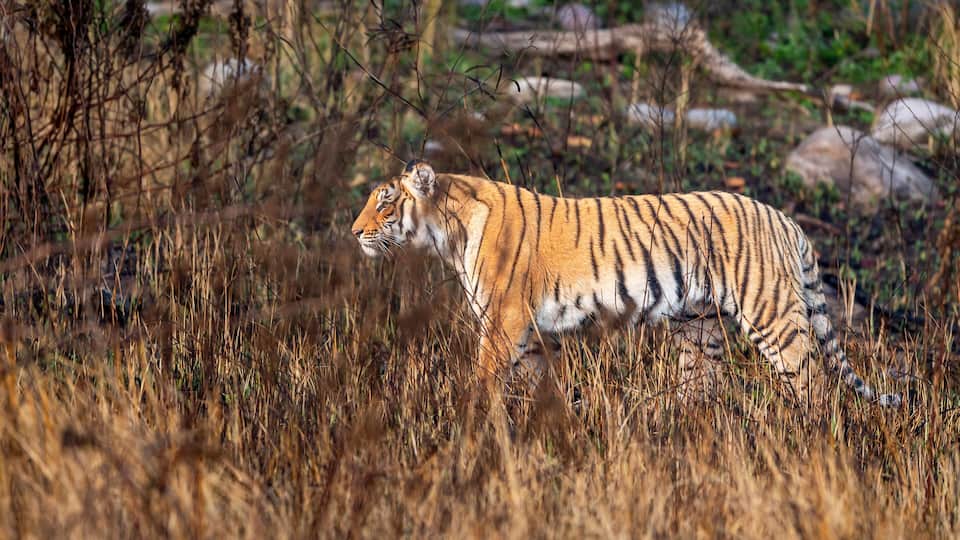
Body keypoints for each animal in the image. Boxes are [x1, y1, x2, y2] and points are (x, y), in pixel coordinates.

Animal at [351, 159, 901, 407]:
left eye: (384, 202)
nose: (354, 232)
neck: (449, 232)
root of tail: (785, 218)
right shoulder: (530, 331)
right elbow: (538, 381)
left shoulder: (504, 320)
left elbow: (485, 377)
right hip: (697, 327)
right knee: (703, 385)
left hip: (772, 313)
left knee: (813, 382)